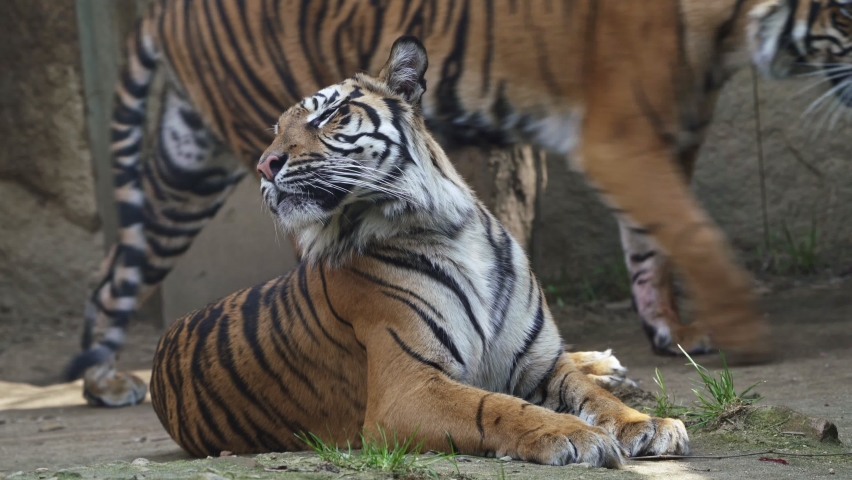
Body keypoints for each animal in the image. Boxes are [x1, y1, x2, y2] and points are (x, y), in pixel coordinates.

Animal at [66, 0, 852, 408]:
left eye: (329, 117)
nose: (270, 158)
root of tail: (166, 8)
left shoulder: (667, 136)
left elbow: (653, 246)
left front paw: (674, 333)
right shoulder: (622, 139)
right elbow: (695, 233)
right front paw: (748, 337)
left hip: (188, 170)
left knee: (116, 269)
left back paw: (102, 378)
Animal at [149, 37, 689, 466]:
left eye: (328, 115)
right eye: (276, 132)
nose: (265, 165)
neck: (447, 226)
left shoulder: (539, 361)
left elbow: (588, 393)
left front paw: (647, 423)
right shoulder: (406, 389)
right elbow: (496, 406)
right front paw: (573, 435)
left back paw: (606, 364)